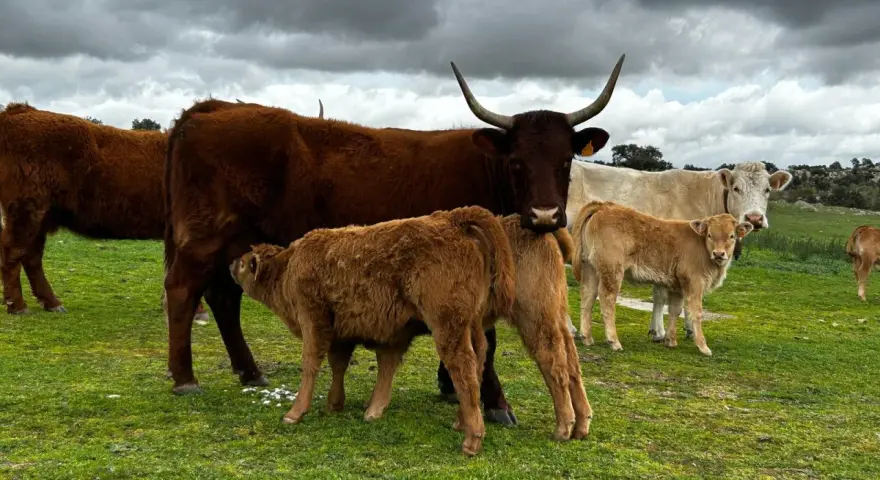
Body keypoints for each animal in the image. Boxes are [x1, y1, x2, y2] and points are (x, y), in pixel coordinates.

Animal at [0, 100, 323, 318]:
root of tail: (20, 111)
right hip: (26, 210)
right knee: (13, 252)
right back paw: (18, 306)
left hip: (42, 216)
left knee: (31, 256)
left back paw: (51, 302)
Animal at [162, 54, 626, 429]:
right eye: (516, 161)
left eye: (566, 159)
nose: (545, 216)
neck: (486, 170)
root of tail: (212, 108)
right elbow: (487, 340)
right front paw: (494, 402)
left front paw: (451, 386)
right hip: (203, 240)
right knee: (183, 291)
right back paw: (185, 378)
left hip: (235, 243)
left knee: (224, 297)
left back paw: (249, 371)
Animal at [570, 201, 754, 355]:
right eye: (710, 235)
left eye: (731, 236)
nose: (719, 253)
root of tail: (604, 206)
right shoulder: (694, 282)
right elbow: (696, 312)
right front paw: (703, 346)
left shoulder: (677, 285)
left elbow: (674, 310)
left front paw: (670, 340)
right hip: (612, 270)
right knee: (606, 299)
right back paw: (613, 341)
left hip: (590, 268)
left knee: (587, 296)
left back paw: (587, 337)